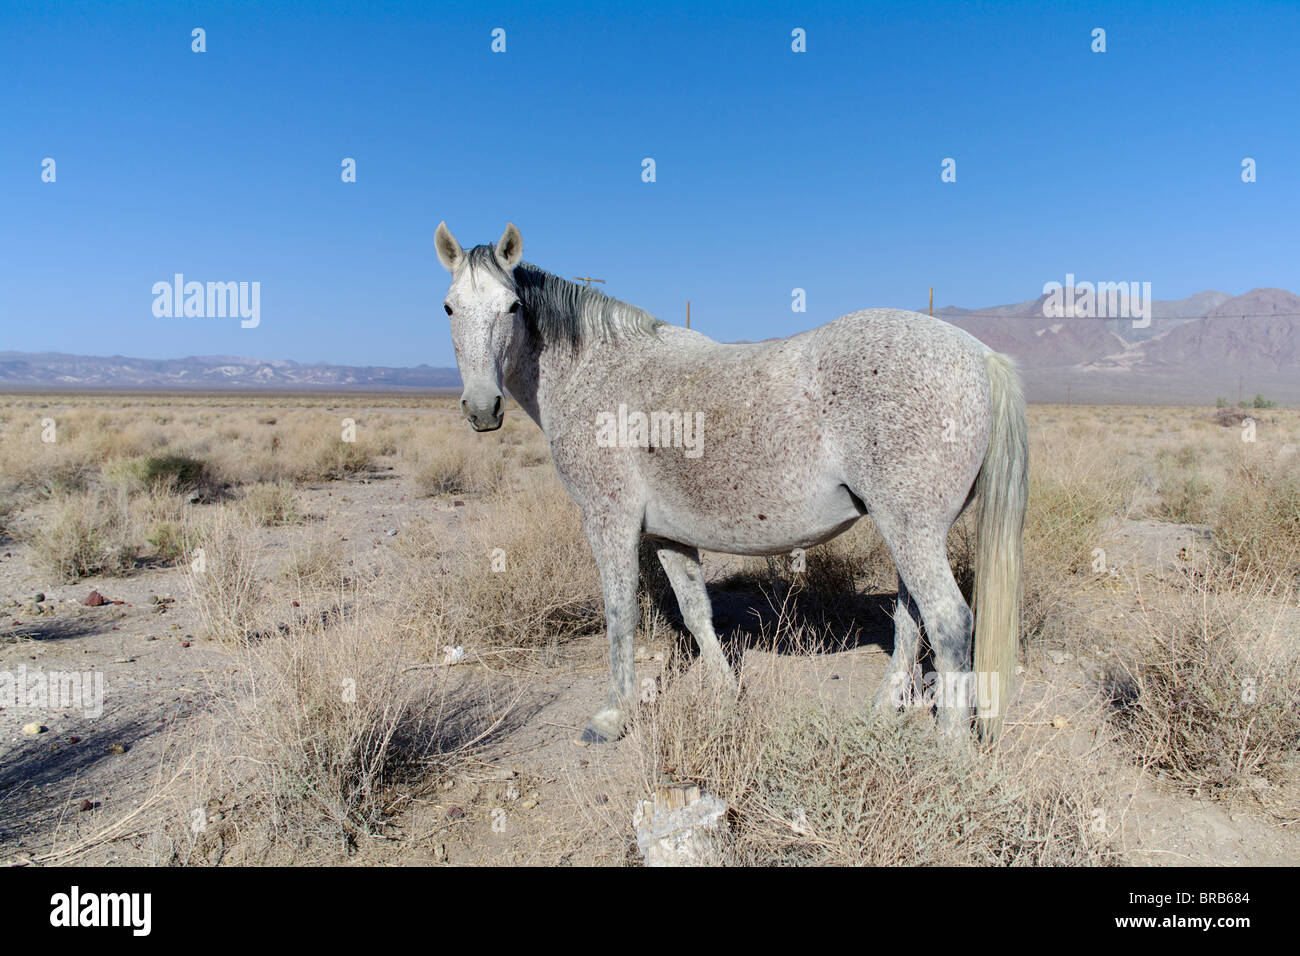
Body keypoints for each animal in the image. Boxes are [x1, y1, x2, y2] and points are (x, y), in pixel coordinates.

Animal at [434, 223, 1024, 749]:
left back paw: (949, 751)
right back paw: (883, 712)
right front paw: (723, 692)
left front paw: (612, 716)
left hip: (911, 529)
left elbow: (621, 615)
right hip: (910, 531)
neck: (597, 373)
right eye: (448, 308)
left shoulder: (610, 522)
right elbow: (696, 613)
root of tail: (980, 355)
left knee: (949, 623)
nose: (482, 408)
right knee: (911, 619)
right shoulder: (668, 534)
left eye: (512, 307)